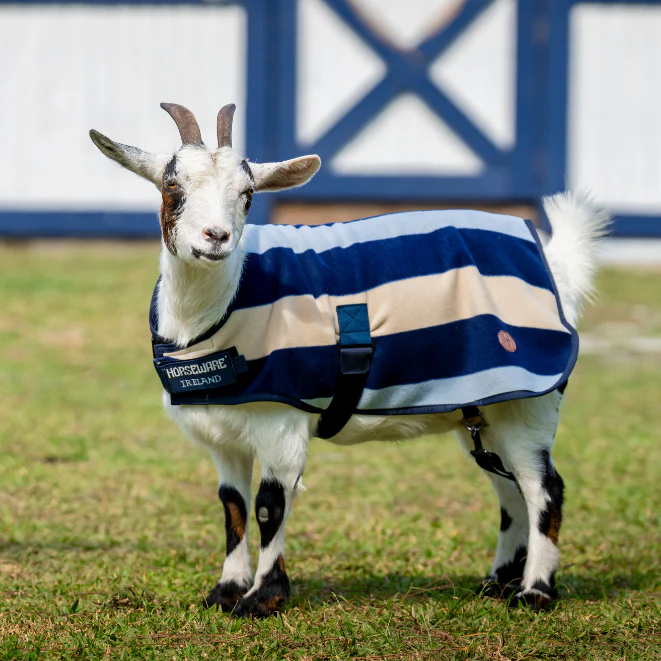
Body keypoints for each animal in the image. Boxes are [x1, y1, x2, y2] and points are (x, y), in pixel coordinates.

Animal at [90, 103, 609, 618]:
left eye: (248, 194)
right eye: (172, 185)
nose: (216, 236)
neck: (220, 308)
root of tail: (555, 268)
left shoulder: (281, 422)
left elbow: (268, 505)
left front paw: (264, 598)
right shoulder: (224, 433)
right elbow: (231, 505)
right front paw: (226, 591)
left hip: (529, 404)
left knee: (543, 488)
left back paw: (535, 591)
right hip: (483, 409)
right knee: (508, 487)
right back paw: (498, 582)